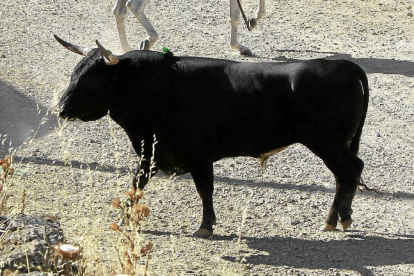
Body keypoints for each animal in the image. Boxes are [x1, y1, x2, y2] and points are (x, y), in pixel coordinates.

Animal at [55, 36, 368, 238]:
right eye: (73, 74)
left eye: (92, 80)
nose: (61, 109)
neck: (156, 86)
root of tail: (343, 65)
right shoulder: (151, 150)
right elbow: (137, 184)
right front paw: (125, 219)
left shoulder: (198, 154)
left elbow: (205, 188)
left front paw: (205, 226)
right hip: (333, 145)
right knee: (342, 176)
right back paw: (333, 220)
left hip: (327, 143)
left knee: (352, 170)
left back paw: (343, 218)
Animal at [113, 0, 266, 56]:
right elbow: (236, 15)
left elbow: (234, 15)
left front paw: (253, 21)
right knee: (133, 6)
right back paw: (149, 41)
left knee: (119, 11)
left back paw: (127, 48)